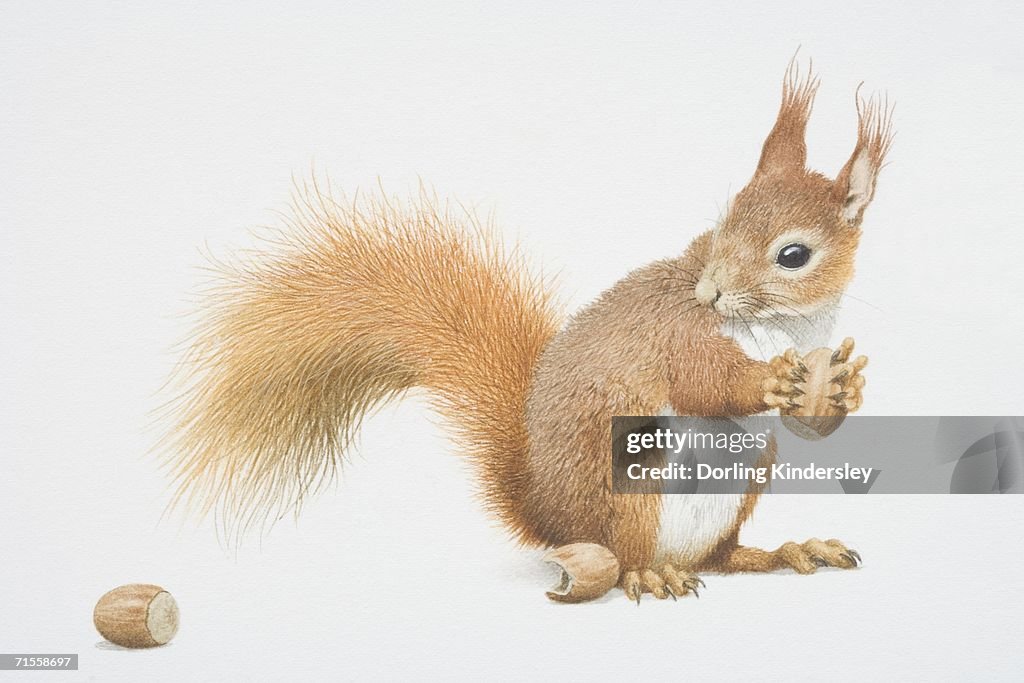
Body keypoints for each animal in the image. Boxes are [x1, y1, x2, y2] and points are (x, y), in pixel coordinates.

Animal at [166, 61, 892, 602]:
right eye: (724, 218)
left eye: (793, 255)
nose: (710, 292)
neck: (783, 324)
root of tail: (551, 516)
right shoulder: (677, 332)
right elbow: (702, 381)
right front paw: (769, 378)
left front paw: (843, 390)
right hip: (631, 477)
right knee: (628, 558)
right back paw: (650, 572)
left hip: (746, 475)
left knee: (721, 557)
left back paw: (781, 551)